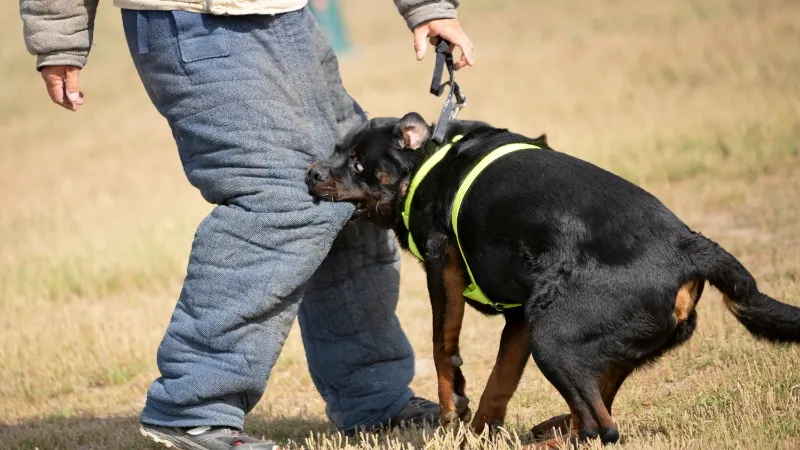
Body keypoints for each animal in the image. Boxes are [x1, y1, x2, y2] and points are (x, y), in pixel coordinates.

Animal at [304, 113, 796, 446]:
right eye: (337, 150)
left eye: (357, 162)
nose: (311, 173)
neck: (429, 162)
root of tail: (691, 246)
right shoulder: (520, 314)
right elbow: (499, 382)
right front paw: (477, 432)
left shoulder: (442, 267)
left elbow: (444, 349)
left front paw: (451, 412)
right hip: (578, 332)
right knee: (597, 407)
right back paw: (552, 429)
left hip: (554, 334)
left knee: (602, 427)